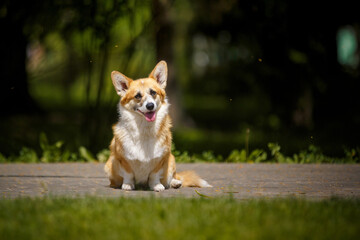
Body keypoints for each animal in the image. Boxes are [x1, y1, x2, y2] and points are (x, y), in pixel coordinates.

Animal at [103, 61, 211, 191]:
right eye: (137, 96)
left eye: (153, 92)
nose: (150, 105)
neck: (145, 128)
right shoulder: (122, 160)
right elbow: (128, 174)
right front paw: (128, 185)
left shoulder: (161, 159)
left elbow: (154, 175)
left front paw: (156, 186)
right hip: (109, 165)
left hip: (172, 160)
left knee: (172, 177)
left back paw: (175, 183)